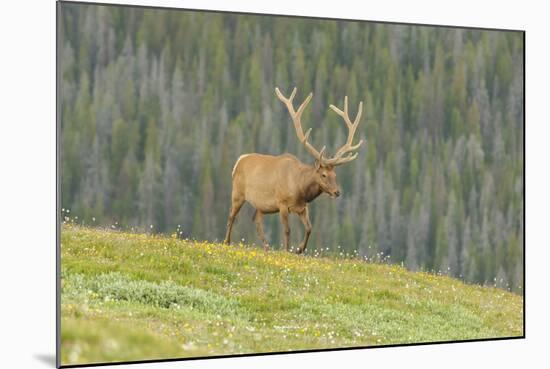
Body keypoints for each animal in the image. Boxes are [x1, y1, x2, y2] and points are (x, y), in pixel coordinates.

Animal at [222, 87, 364, 253]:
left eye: (335, 174)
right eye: (323, 175)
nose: (337, 192)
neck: (300, 189)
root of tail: (238, 161)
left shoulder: (303, 208)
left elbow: (309, 228)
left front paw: (299, 249)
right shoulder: (282, 203)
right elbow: (287, 230)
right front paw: (287, 250)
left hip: (262, 206)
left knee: (256, 220)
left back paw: (267, 247)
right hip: (238, 193)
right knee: (231, 216)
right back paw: (227, 242)